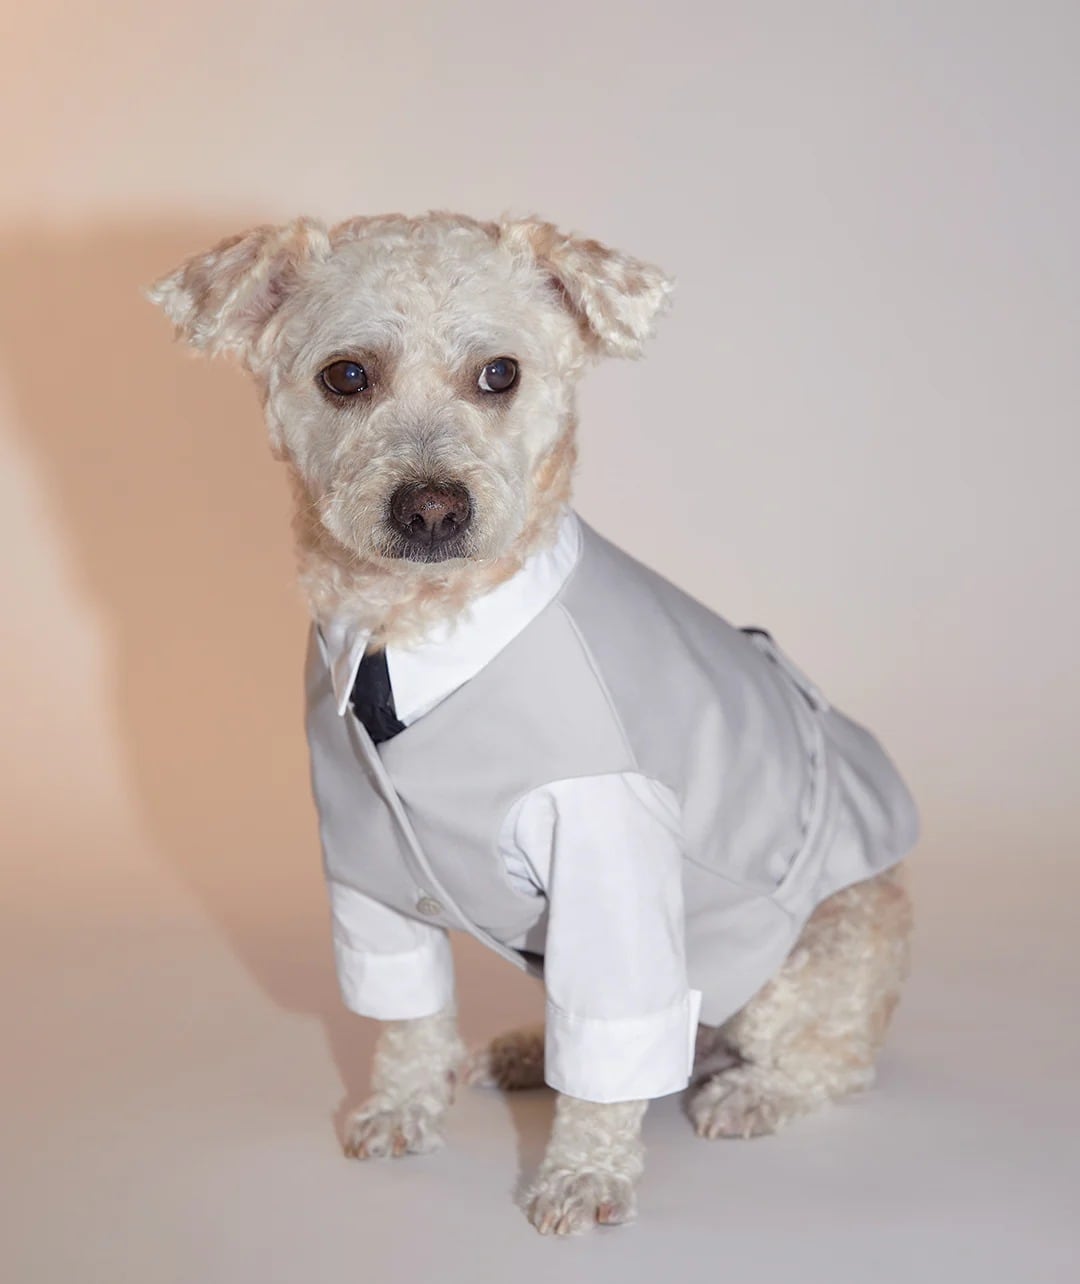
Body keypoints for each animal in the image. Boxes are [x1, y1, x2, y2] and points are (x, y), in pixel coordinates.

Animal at [148, 211, 918, 1236]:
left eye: (500, 373)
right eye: (345, 375)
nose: (433, 507)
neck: (419, 629)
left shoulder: (611, 843)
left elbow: (613, 1042)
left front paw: (584, 1173)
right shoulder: (363, 854)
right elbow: (406, 1013)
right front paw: (402, 1107)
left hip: (819, 950)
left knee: (832, 1057)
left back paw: (754, 1091)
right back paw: (524, 1051)